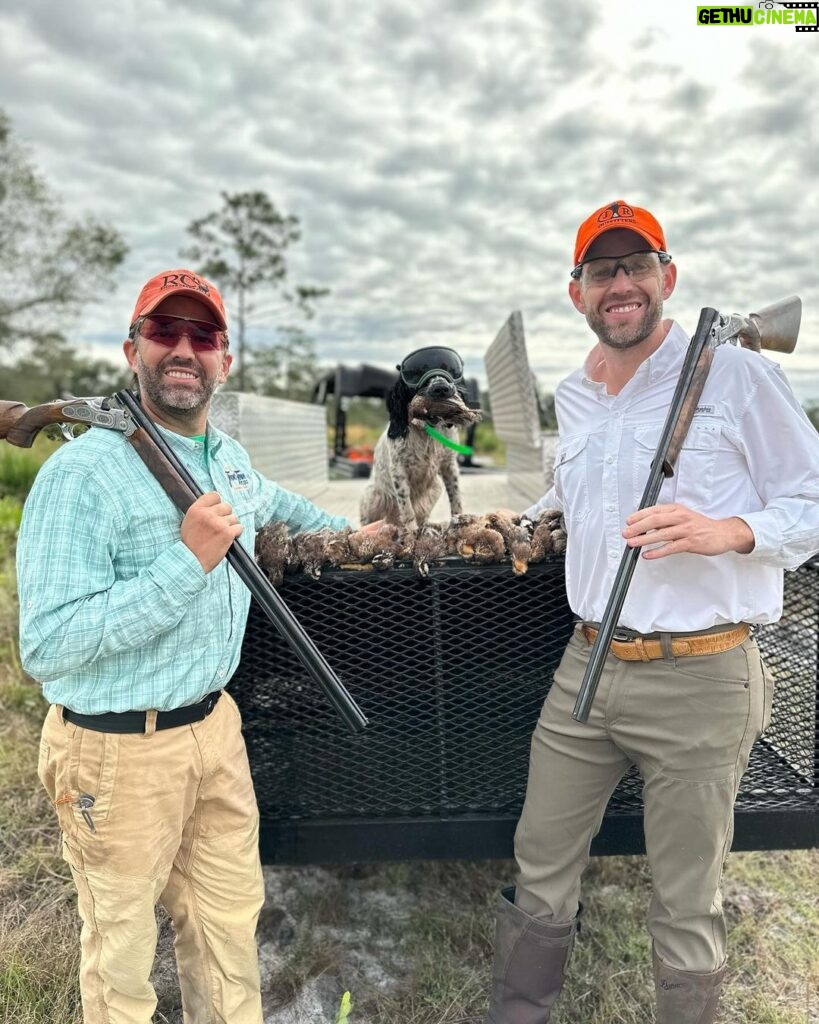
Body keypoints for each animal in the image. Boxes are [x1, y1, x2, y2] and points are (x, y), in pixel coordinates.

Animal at [358, 348, 479, 532]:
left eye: (450, 369)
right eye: (415, 373)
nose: (441, 388)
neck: (427, 429)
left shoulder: (449, 465)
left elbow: (456, 497)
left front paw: (458, 522)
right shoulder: (398, 471)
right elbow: (407, 508)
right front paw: (412, 532)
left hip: (435, 487)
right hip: (372, 497)